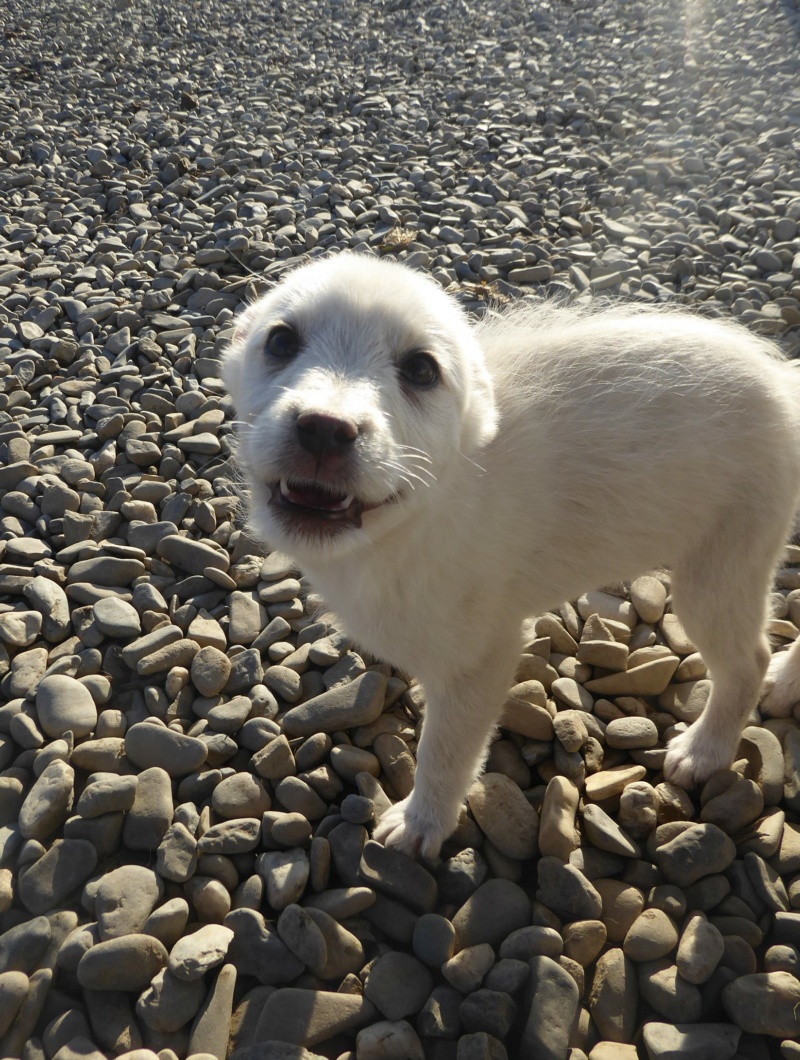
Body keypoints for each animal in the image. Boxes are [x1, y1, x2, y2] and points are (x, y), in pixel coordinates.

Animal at [222, 254, 800, 860]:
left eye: (421, 370)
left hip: (721, 568)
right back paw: (786, 682)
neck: (423, 509)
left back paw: (707, 749)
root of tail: (784, 381)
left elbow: (445, 750)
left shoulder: (481, 659)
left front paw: (422, 822)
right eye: (281, 341)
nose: (324, 428)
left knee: (747, 662)